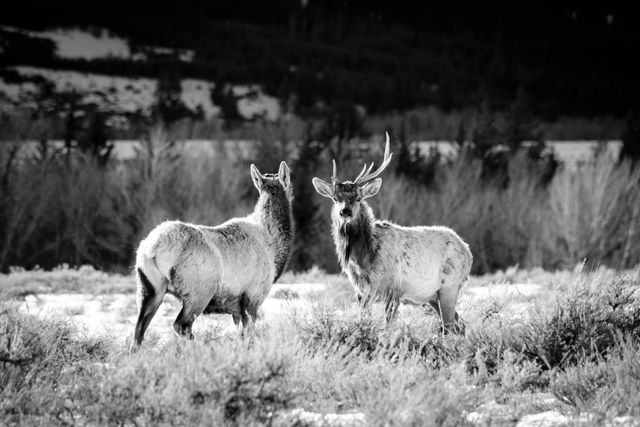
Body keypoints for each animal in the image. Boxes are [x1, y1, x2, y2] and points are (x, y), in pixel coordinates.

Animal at [131, 161, 294, 352]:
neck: (274, 248)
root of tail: (152, 248)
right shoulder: (253, 297)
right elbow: (249, 338)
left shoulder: (236, 307)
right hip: (199, 291)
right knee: (181, 325)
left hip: (149, 288)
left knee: (138, 331)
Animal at [312, 135, 472, 332]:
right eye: (336, 198)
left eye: (358, 198)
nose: (345, 211)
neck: (363, 260)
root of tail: (467, 251)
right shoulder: (361, 292)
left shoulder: (394, 289)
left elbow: (388, 327)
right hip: (433, 297)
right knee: (459, 324)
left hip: (450, 285)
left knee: (450, 326)